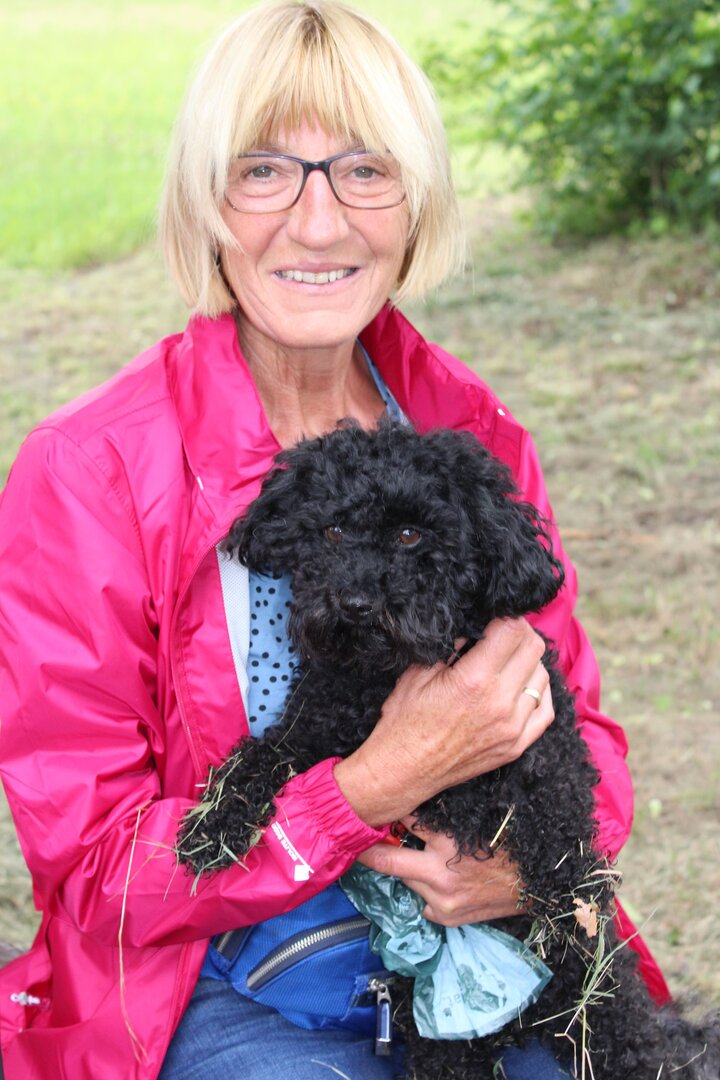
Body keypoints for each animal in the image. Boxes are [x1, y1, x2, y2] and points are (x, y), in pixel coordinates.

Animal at [177, 421, 719, 1079]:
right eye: (331, 531)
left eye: (412, 534)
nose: (355, 603)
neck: (384, 678)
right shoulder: (312, 734)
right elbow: (257, 757)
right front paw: (211, 826)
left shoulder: (543, 757)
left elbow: (560, 836)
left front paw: (568, 909)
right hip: (440, 1045)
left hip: (604, 1023)